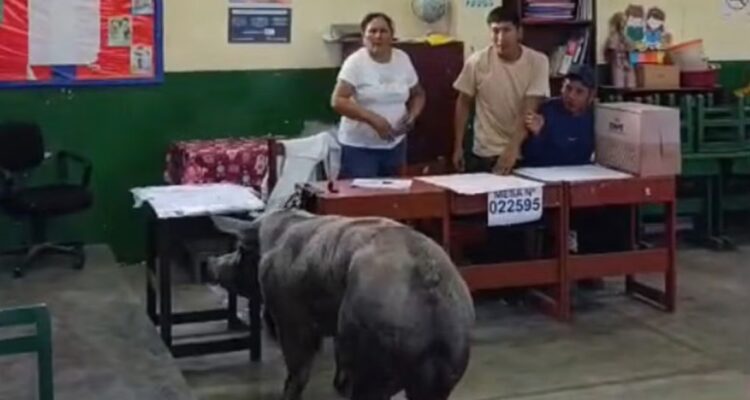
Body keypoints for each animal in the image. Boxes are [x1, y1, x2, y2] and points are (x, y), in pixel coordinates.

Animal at [208, 208, 475, 400]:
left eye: (240, 250)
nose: (211, 263)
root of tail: (428, 277)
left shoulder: (289, 315)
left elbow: (298, 367)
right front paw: (338, 384)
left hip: (376, 350)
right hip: (451, 358)